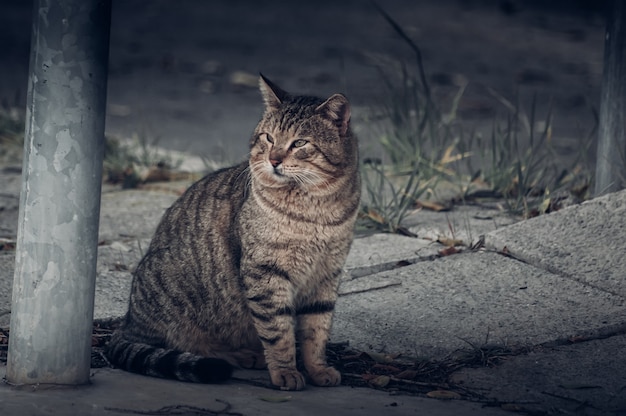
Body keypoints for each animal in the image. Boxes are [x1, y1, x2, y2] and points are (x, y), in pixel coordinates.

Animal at [106, 75, 360, 390]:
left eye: (299, 143)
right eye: (268, 138)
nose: (274, 160)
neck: (315, 209)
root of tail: (128, 322)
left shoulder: (326, 274)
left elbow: (317, 331)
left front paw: (318, 369)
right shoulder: (266, 274)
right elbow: (279, 333)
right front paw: (286, 371)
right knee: (193, 346)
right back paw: (246, 355)